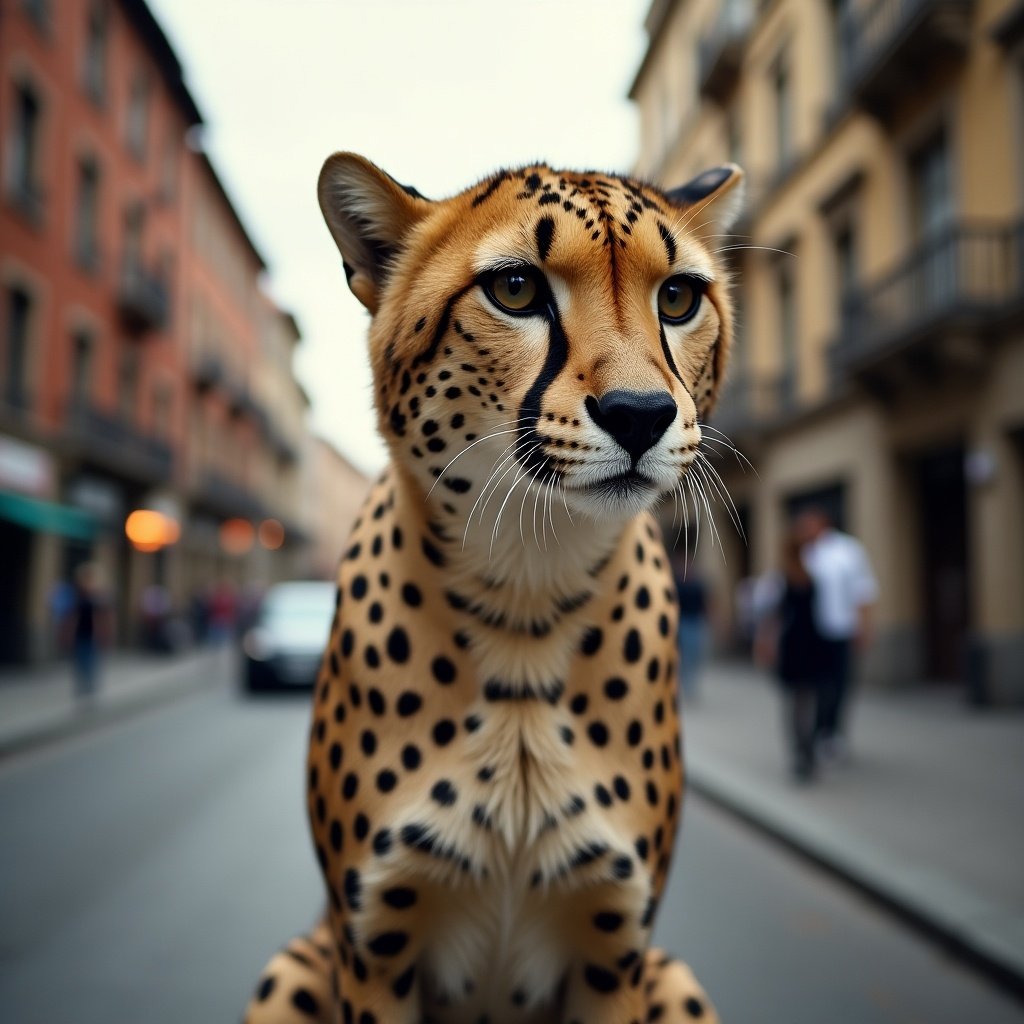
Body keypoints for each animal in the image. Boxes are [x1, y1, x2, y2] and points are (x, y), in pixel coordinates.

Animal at [245, 151, 745, 1024]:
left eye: (679, 297)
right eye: (515, 289)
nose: (639, 414)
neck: (527, 596)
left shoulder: (618, 954)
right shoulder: (373, 951)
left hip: (674, 979)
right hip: (294, 966)